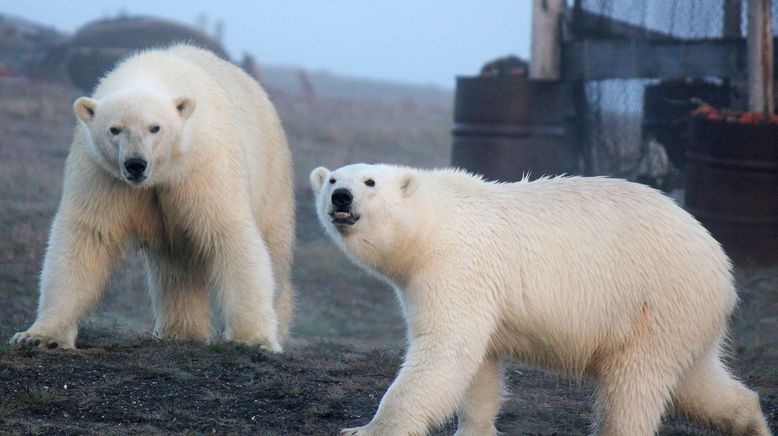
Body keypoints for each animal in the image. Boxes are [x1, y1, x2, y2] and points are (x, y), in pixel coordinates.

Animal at [10, 44, 296, 350]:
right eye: (115, 129)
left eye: (155, 127)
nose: (135, 164)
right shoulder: (103, 173)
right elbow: (87, 234)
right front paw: (39, 337)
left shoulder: (202, 165)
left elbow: (227, 233)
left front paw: (253, 339)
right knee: (176, 266)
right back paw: (179, 331)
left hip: (272, 176)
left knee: (274, 250)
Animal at [310, 164, 768, 436]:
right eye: (333, 179)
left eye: (370, 182)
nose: (341, 197)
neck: (435, 220)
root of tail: (720, 266)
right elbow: (479, 365)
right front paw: (474, 429)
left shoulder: (457, 265)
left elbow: (446, 349)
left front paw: (365, 429)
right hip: (682, 316)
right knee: (698, 382)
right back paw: (751, 422)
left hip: (653, 300)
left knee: (633, 386)